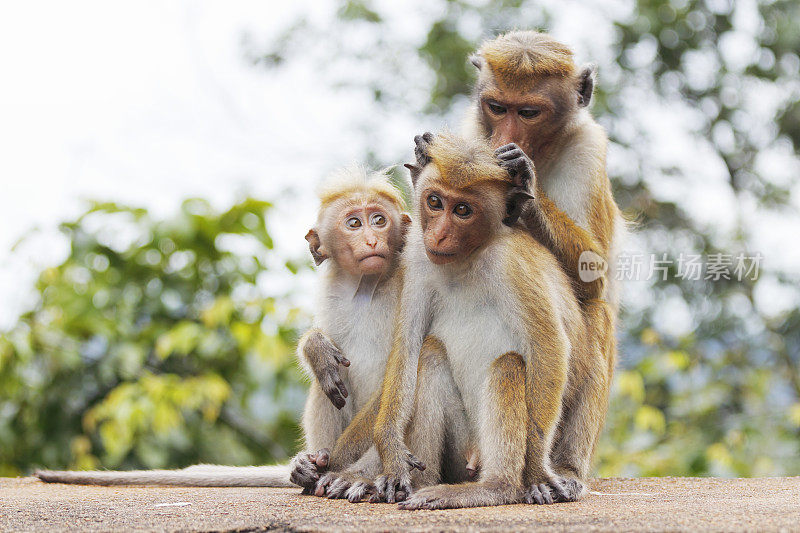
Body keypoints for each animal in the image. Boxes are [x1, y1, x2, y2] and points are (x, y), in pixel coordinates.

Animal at [36, 167, 412, 490]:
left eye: (379, 220)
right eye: (354, 223)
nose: (372, 239)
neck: (366, 288)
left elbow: (399, 376)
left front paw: (340, 467)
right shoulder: (333, 293)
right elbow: (326, 352)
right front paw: (315, 347)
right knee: (327, 383)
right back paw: (308, 465)